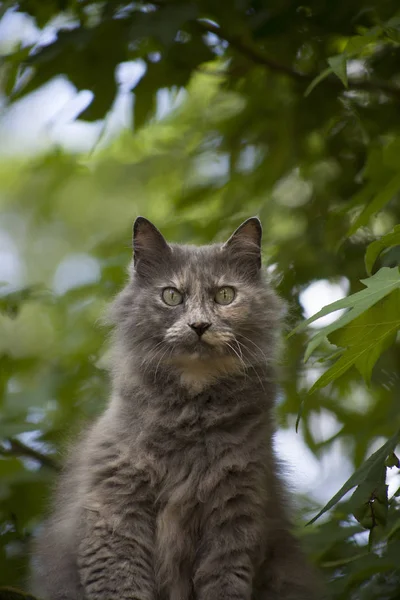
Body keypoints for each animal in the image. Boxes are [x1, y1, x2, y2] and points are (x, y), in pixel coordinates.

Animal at [32, 217, 324, 600]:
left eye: (224, 295)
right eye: (171, 296)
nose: (199, 325)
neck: (191, 416)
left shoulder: (236, 513)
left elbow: (223, 585)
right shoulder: (113, 512)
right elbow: (123, 585)